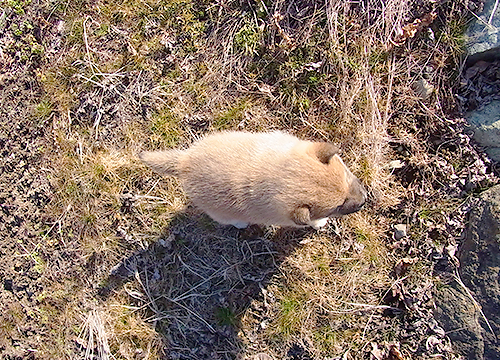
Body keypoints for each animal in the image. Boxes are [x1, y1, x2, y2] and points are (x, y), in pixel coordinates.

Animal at [141, 131, 368, 229]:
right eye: (337, 207)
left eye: (348, 176)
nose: (365, 200)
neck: (279, 175)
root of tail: (184, 161)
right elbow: (311, 221)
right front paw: (319, 223)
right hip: (220, 212)